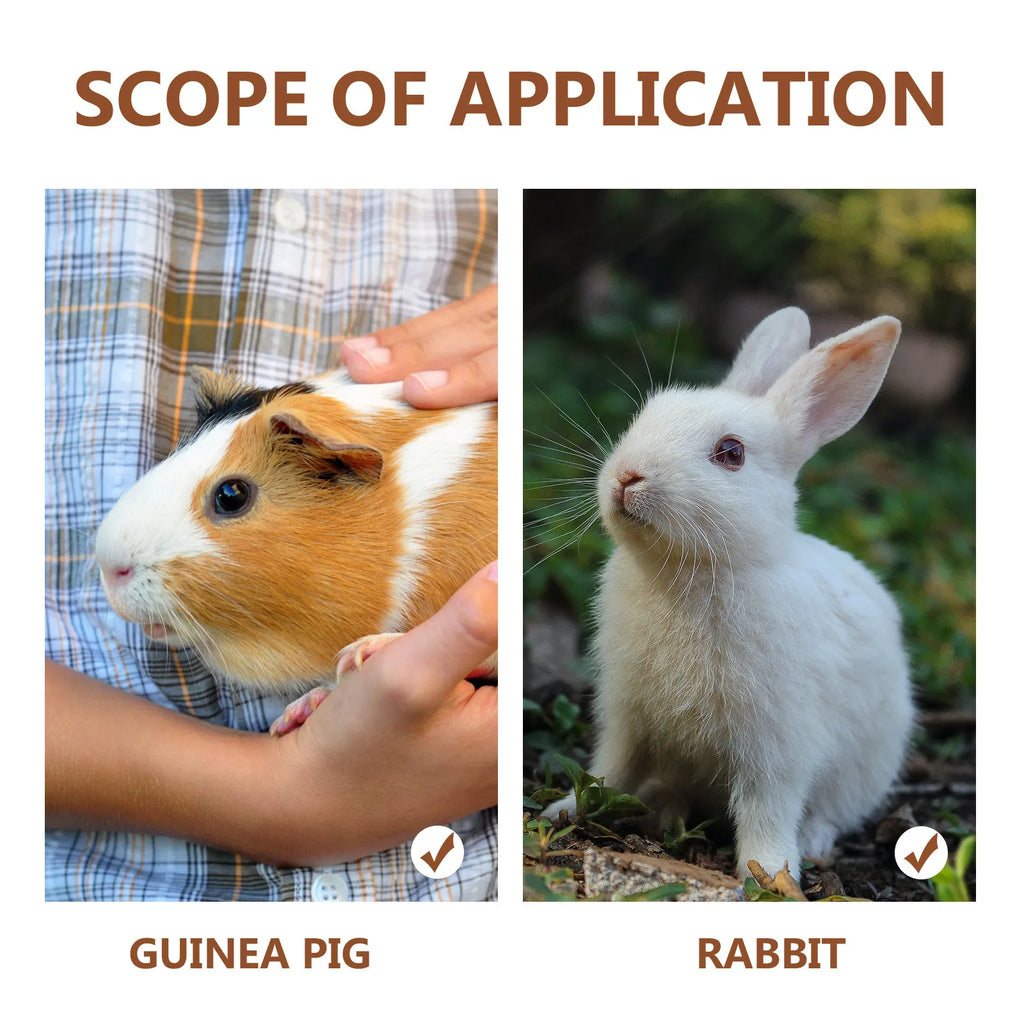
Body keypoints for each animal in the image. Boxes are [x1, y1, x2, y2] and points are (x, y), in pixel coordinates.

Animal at [544, 308, 913, 882]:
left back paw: (812, 843)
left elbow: (767, 806)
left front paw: (769, 874)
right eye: (645, 415)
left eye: (731, 453)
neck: (691, 571)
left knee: (832, 811)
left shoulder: (776, 743)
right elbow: (611, 768)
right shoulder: (627, 715)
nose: (627, 477)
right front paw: (564, 810)